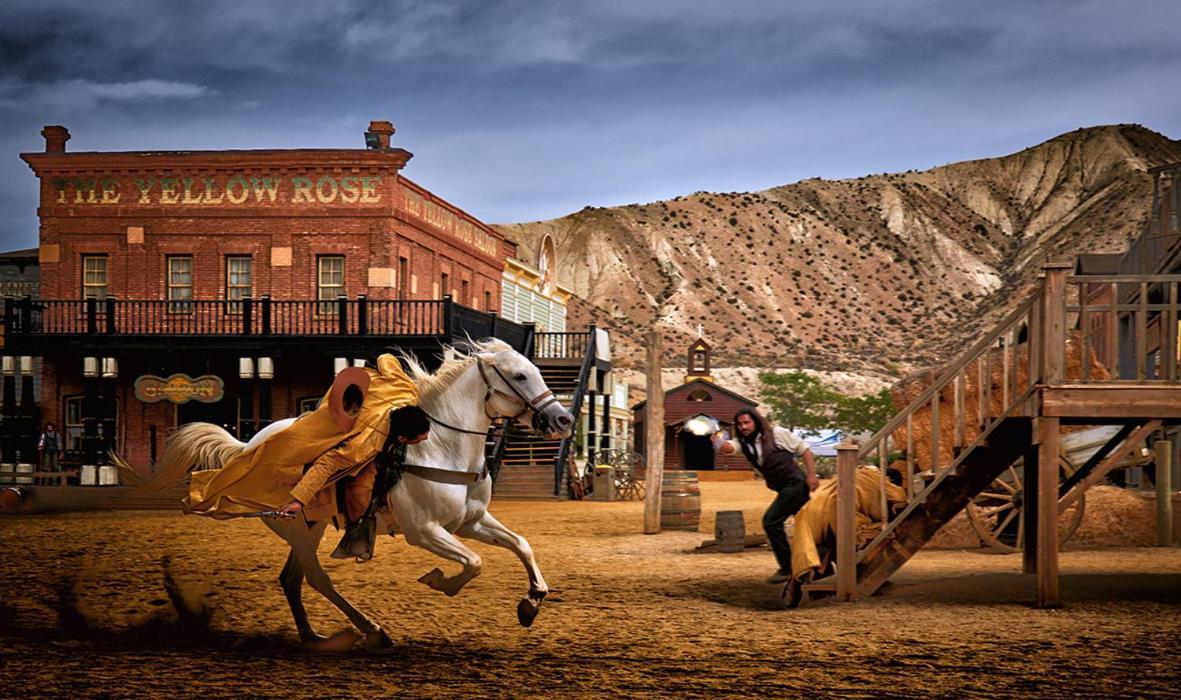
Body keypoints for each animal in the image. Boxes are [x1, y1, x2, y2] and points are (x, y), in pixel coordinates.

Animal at [149, 339, 573, 651]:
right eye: (520, 375)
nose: (564, 418)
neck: (440, 447)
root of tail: (248, 448)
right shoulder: (425, 531)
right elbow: (474, 563)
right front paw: (440, 581)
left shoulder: (470, 521)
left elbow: (520, 544)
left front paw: (531, 602)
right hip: (297, 529)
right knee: (317, 579)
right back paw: (373, 630)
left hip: (312, 527)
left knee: (292, 579)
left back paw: (312, 636)